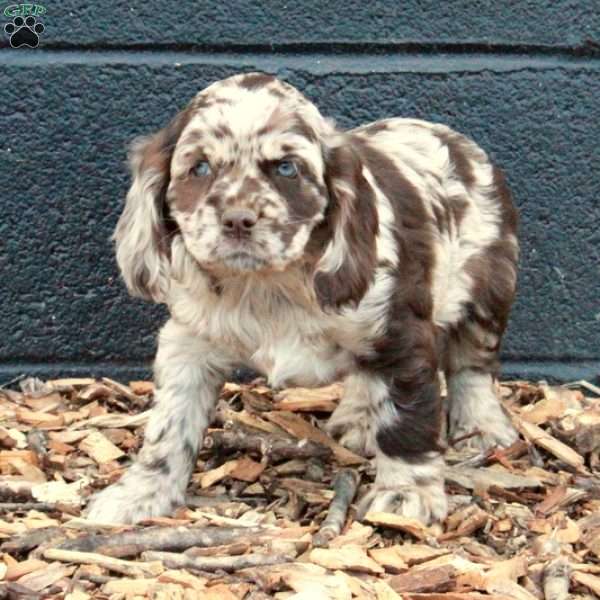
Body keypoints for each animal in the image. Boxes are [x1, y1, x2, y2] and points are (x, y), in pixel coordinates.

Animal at [85, 71, 520, 524]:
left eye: (286, 168)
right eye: (200, 167)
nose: (238, 220)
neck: (267, 286)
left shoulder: (400, 337)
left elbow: (407, 422)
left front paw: (406, 494)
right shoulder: (188, 343)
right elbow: (168, 428)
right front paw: (139, 494)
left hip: (487, 287)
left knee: (471, 366)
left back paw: (482, 426)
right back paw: (359, 417)